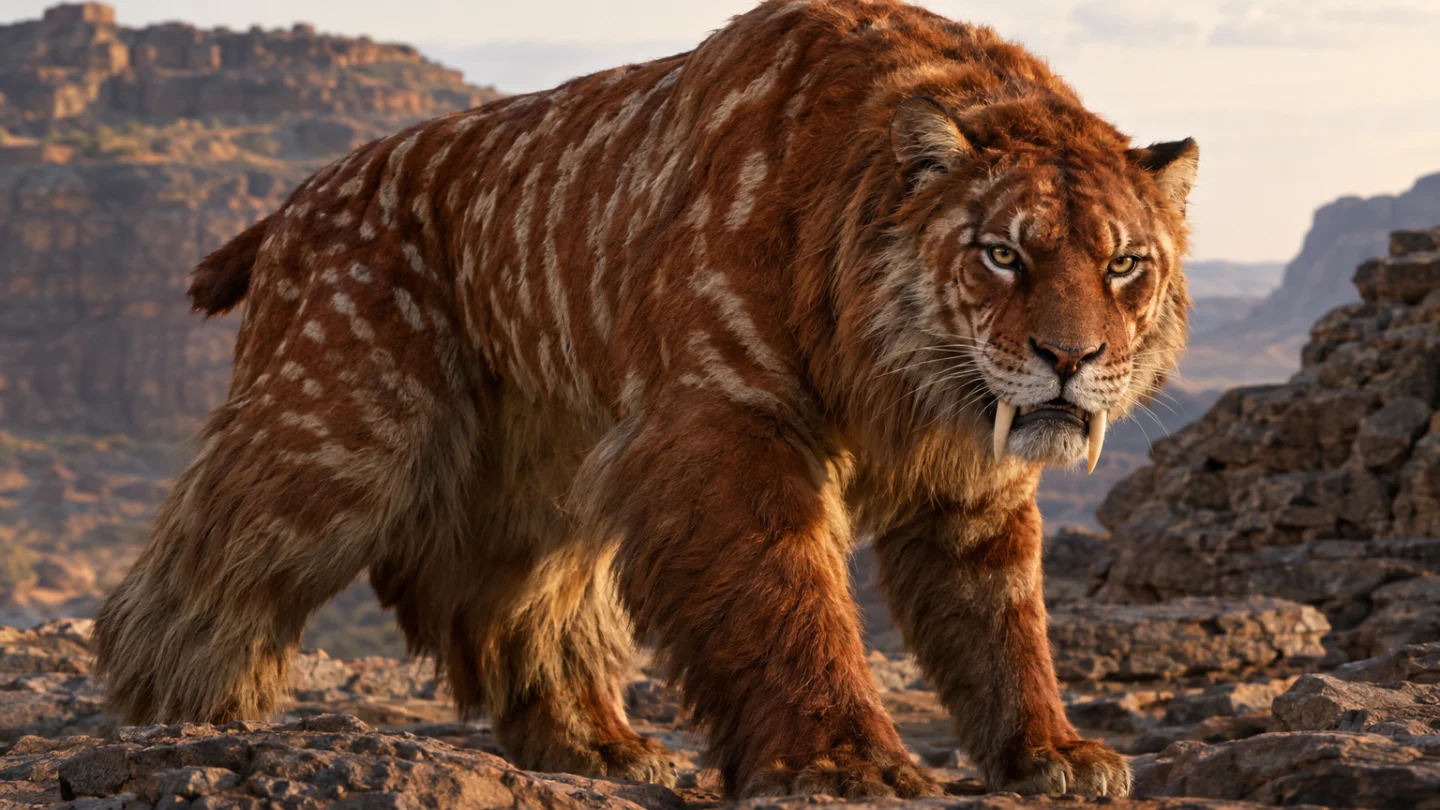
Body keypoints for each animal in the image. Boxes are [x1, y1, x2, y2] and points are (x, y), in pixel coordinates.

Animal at [94, 0, 1195, 798]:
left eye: (1124, 264)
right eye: (1005, 254)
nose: (1068, 357)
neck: (903, 371)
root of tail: (294, 199)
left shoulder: (975, 479)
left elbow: (1004, 624)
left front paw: (1050, 753)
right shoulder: (729, 426)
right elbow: (792, 603)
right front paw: (846, 764)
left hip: (545, 478)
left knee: (523, 613)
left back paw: (601, 748)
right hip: (340, 432)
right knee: (208, 553)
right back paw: (180, 709)